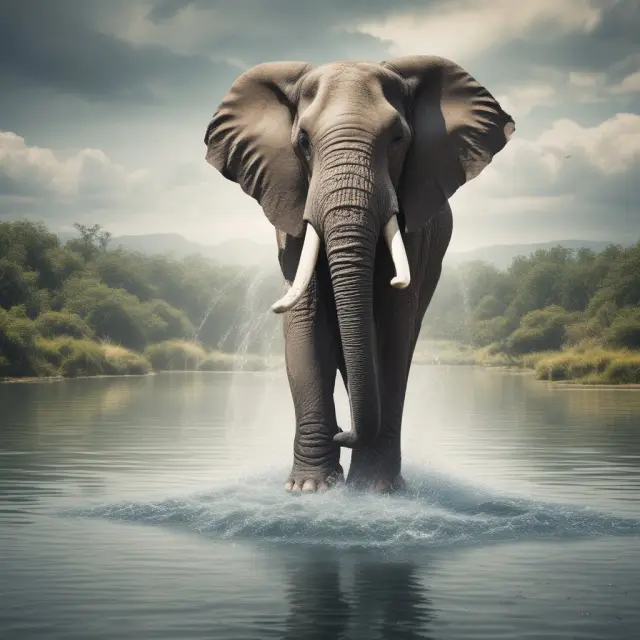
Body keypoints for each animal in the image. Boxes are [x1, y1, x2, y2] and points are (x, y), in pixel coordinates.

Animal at [204, 55, 514, 493]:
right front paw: (309, 488)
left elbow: (391, 328)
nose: (342, 434)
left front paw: (372, 488)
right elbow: (307, 323)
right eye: (303, 141)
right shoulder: (291, 210)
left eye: (398, 139)